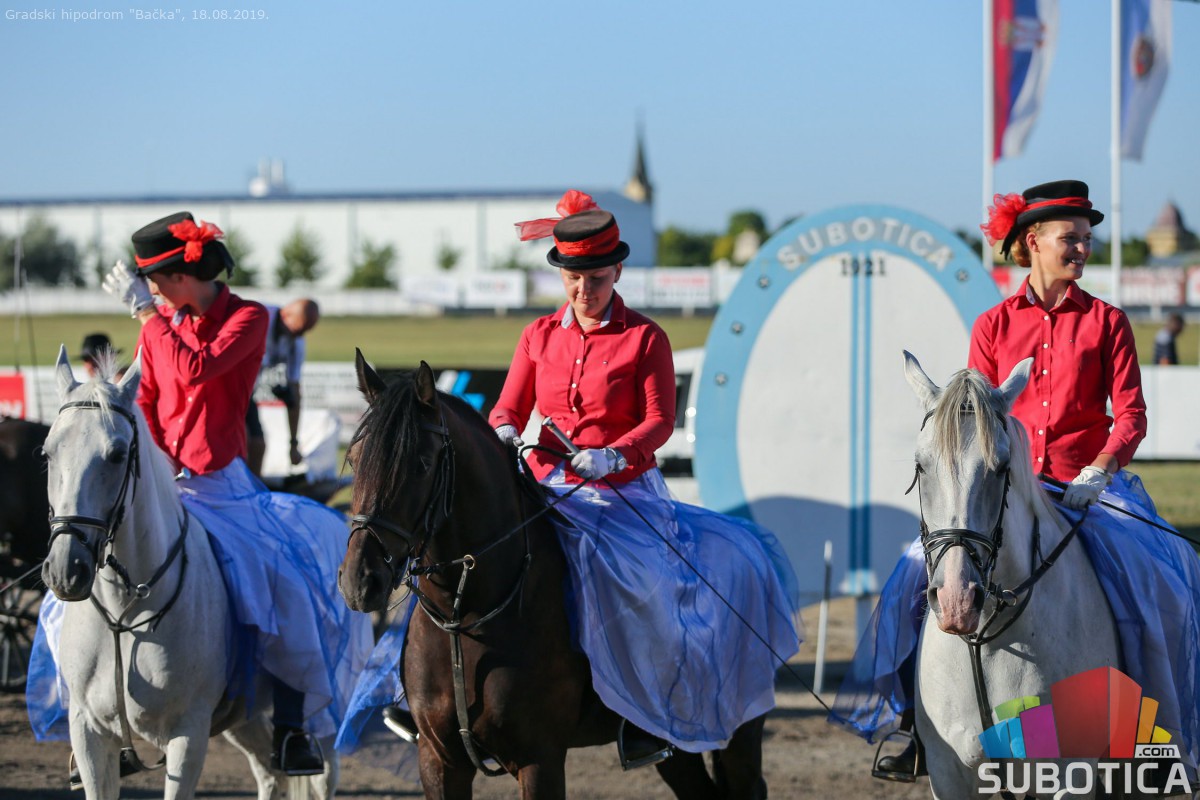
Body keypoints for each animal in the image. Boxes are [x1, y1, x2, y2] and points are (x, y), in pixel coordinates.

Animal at [38, 347, 336, 800]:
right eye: (48, 452)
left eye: (118, 454)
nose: (65, 569)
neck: (126, 614)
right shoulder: (88, 733)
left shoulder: (188, 735)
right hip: (245, 715)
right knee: (270, 773)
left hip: (328, 712)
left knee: (320, 776)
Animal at [337, 352, 770, 800]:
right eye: (355, 459)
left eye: (421, 465)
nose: (360, 581)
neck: (467, 614)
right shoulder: (439, 761)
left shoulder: (539, 760)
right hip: (680, 742)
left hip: (738, 728)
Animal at [903, 351, 1119, 799]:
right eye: (920, 465)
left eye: (1001, 467)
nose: (956, 601)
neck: (985, 639)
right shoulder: (948, 772)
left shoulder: (1070, 774)